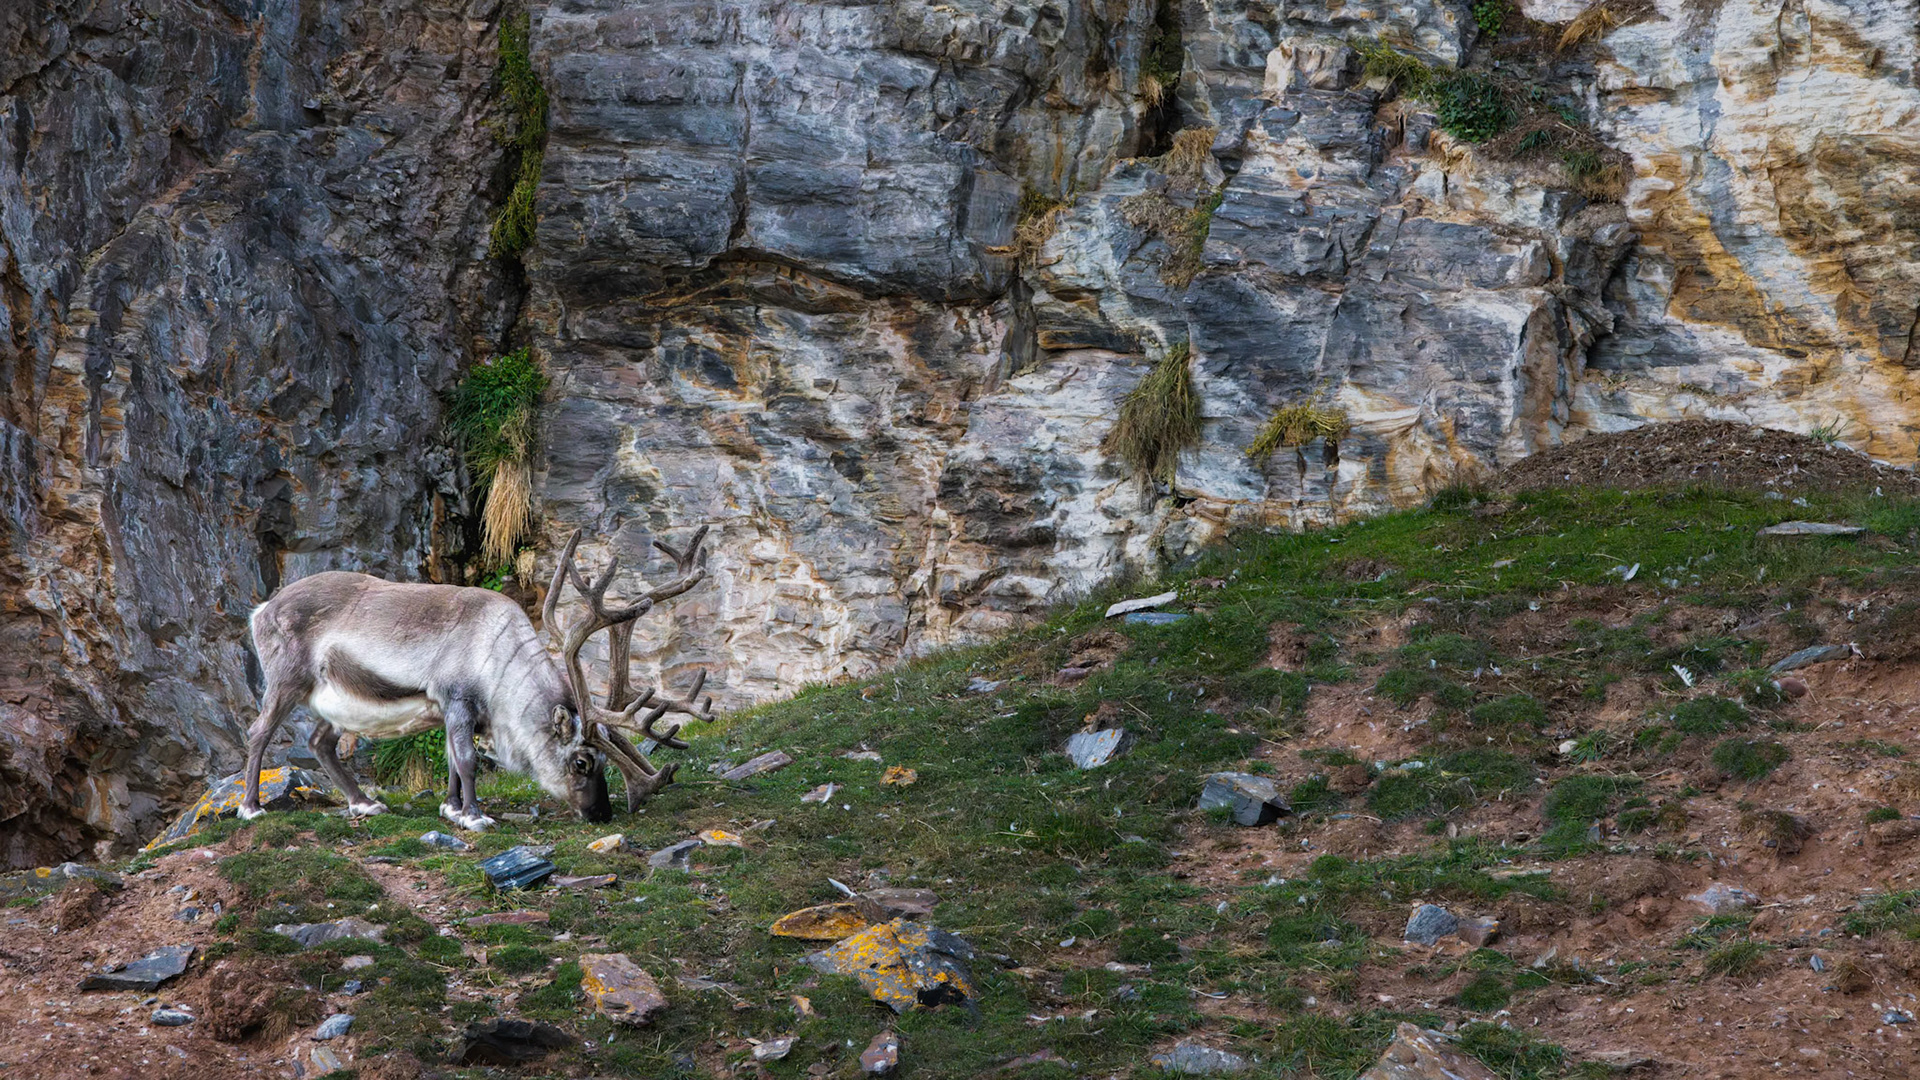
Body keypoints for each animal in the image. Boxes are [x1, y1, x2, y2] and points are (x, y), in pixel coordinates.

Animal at [236, 527, 718, 830]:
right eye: (582, 762)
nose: (601, 814)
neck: (501, 664)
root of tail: (260, 610)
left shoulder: (454, 714)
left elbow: (452, 760)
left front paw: (451, 809)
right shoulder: (456, 700)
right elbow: (467, 761)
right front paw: (475, 816)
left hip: (334, 702)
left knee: (320, 742)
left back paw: (365, 802)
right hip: (286, 679)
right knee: (259, 731)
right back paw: (251, 808)